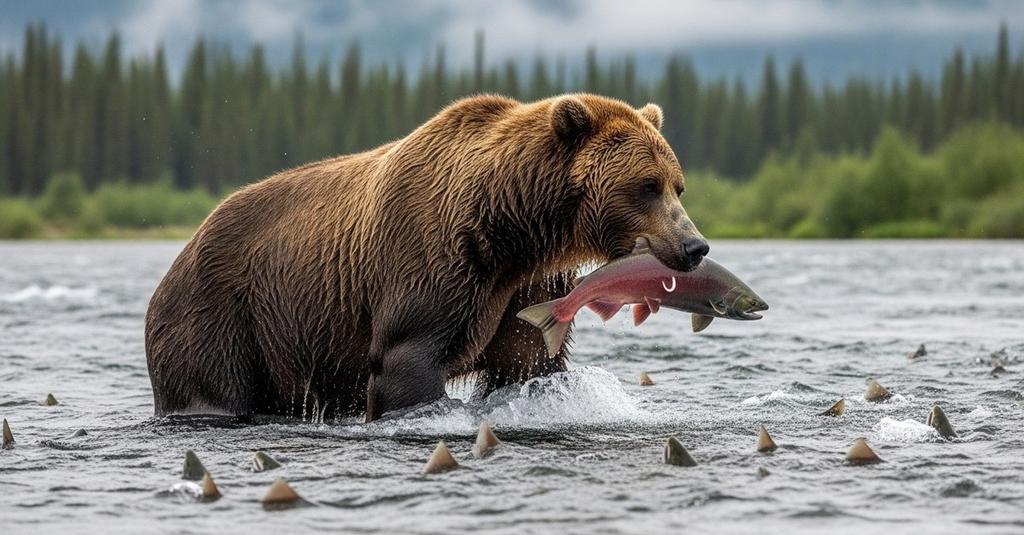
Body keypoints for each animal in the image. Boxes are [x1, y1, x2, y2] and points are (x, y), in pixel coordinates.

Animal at [144, 93, 709, 422]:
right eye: (647, 186)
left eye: (678, 185)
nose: (695, 246)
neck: (512, 229)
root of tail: (184, 248)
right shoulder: (432, 260)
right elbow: (407, 357)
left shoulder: (527, 288)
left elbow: (528, 363)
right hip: (221, 317)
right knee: (211, 388)